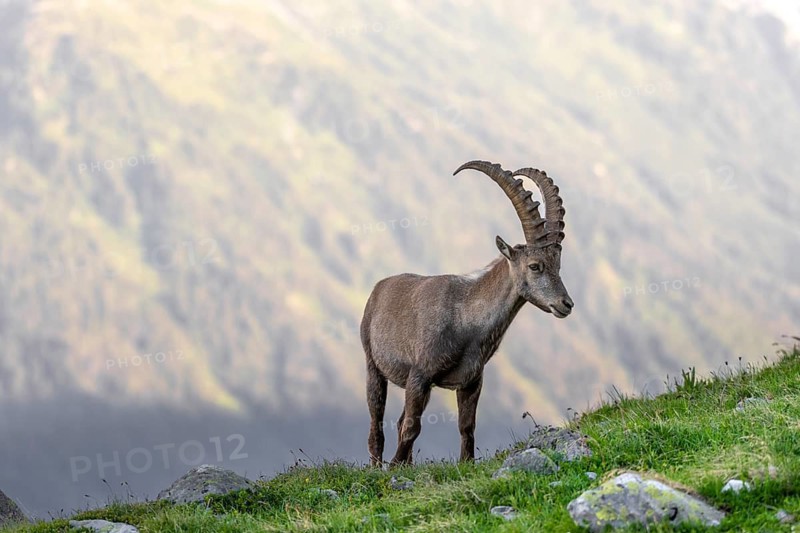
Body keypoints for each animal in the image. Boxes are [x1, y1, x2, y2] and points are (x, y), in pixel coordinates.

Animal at [360, 160, 574, 465]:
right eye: (535, 266)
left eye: (558, 265)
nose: (566, 304)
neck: (465, 320)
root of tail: (380, 287)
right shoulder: (420, 375)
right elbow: (412, 426)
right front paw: (395, 467)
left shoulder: (471, 381)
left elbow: (466, 427)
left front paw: (465, 463)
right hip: (373, 364)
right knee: (377, 424)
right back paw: (379, 466)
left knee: (399, 421)